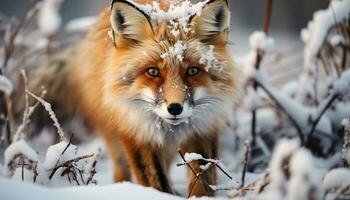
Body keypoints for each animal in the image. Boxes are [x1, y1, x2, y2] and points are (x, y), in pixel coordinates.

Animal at [30, 0, 241, 197]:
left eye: (193, 71)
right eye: (153, 72)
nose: (174, 108)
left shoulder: (202, 129)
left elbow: (203, 180)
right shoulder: (137, 131)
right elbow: (156, 183)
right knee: (120, 168)